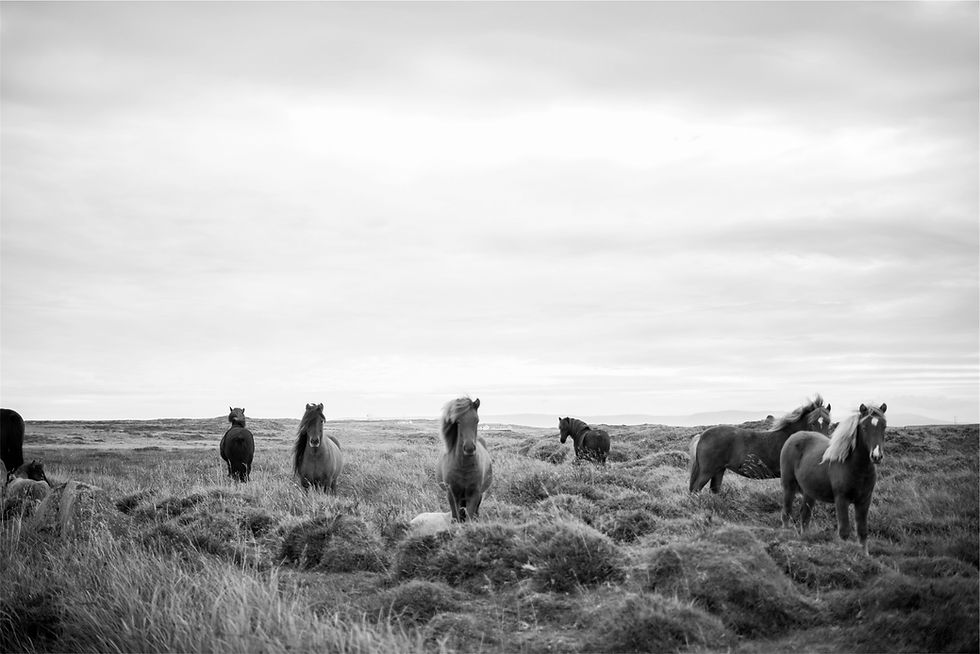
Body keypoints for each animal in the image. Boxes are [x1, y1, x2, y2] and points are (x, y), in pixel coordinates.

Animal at [689, 395, 832, 493]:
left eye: (828, 422)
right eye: (812, 423)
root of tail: (702, 436)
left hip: (719, 470)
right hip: (707, 471)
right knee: (696, 489)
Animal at [780, 403, 887, 554]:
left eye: (884, 426)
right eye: (864, 427)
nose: (876, 456)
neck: (856, 467)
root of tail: (794, 436)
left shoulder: (864, 500)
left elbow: (862, 531)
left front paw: (864, 556)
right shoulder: (841, 500)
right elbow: (844, 532)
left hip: (809, 493)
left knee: (805, 515)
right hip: (789, 487)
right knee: (787, 512)